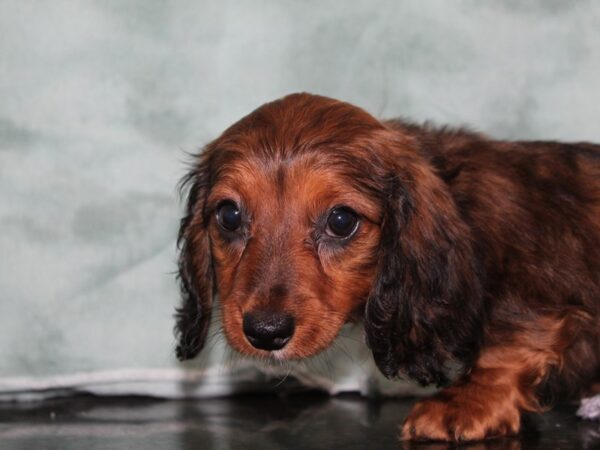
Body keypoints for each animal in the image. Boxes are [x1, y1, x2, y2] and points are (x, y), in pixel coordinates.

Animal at [175, 93, 600, 442]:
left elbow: (512, 341)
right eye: (229, 216)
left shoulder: (534, 288)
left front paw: (464, 403)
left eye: (341, 221)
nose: (266, 332)